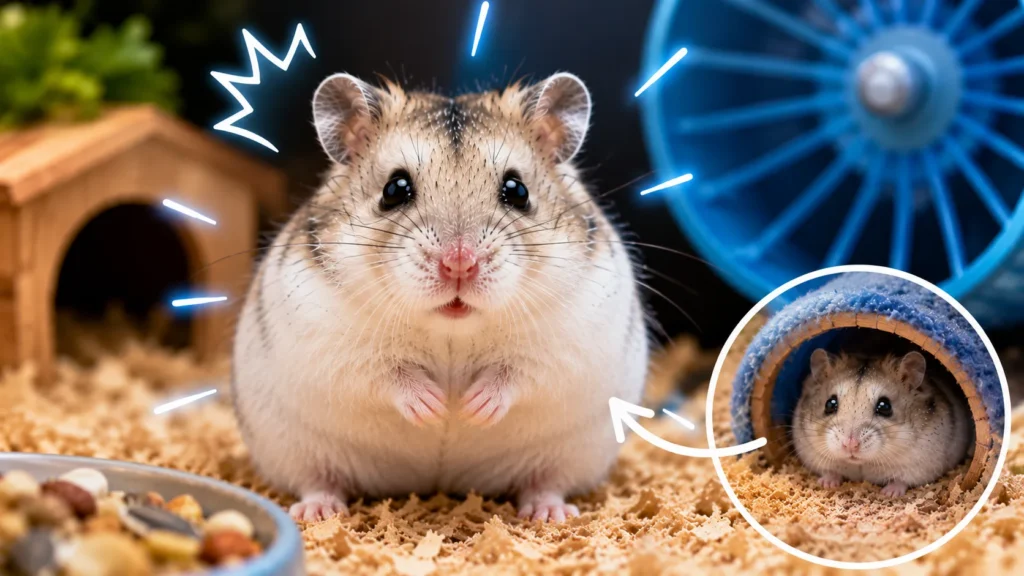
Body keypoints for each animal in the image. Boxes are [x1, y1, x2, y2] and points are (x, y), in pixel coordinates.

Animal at [231, 72, 649, 523]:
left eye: (517, 190)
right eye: (394, 189)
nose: (459, 264)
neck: (453, 331)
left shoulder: (566, 343)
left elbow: (517, 373)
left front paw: (469, 408)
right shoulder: (331, 344)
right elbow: (387, 374)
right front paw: (435, 408)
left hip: (570, 456)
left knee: (546, 482)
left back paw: (551, 513)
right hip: (296, 451)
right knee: (318, 480)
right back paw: (318, 512)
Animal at [792, 349, 972, 497]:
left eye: (885, 407)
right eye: (830, 404)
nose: (850, 445)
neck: (862, 463)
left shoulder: (919, 466)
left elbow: (901, 481)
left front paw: (889, 493)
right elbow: (829, 471)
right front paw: (826, 484)